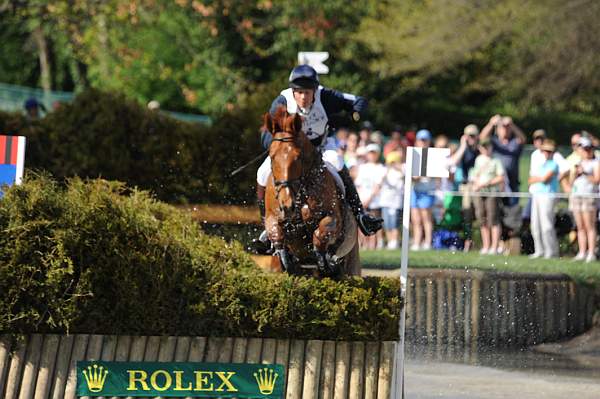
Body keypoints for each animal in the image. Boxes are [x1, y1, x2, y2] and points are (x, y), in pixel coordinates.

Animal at [264, 105, 358, 278]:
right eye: (272, 156)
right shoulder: (271, 218)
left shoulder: (333, 218)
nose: (287, 206)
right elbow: (275, 232)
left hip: (352, 264)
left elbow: (320, 233)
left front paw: (324, 261)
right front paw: (285, 259)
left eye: (298, 157)